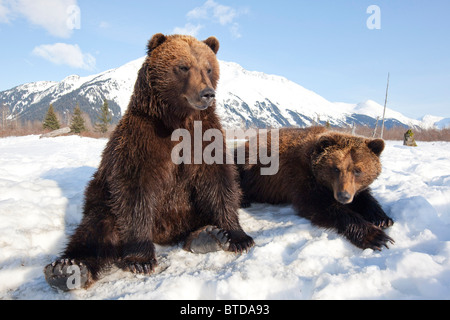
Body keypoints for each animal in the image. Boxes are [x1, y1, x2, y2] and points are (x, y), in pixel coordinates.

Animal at [44, 33, 255, 292]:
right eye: (183, 67)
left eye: (208, 67)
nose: (206, 93)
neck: (178, 121)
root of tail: (164, 234)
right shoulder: (142, 140)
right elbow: (136, 191)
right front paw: (141, 260)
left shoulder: (204, 139)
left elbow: (218, 181)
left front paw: (238, 236)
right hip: (103, 200)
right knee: (95, 231)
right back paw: (66, 269)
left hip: (187, 210)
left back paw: (209, 235)